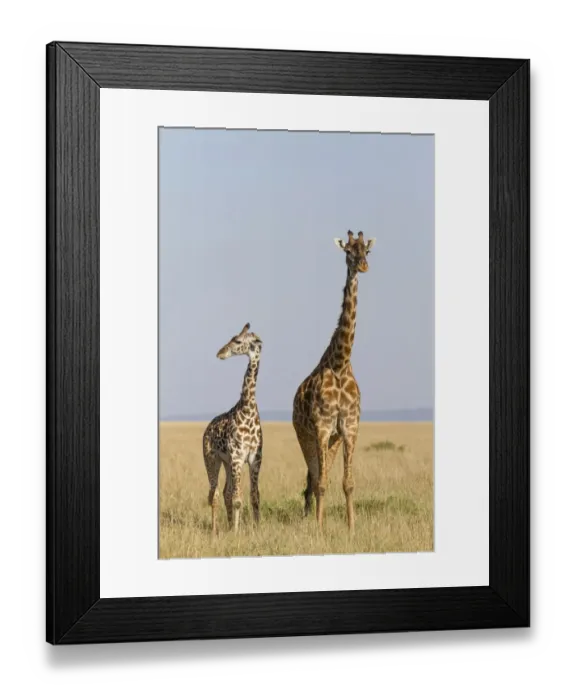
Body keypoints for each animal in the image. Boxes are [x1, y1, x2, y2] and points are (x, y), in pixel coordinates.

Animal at [202, 323, 263, 535]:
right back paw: (214, 530)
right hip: (212, 459)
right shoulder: (237, 457)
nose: (220, 353)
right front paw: (237, 533)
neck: (248, 408)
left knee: (225, 492)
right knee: (213, 494)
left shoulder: (254, 458)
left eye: (237, 341)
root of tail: (207, 428)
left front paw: (256, 528)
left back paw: (228, 525)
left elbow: (254, 496)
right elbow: (238, 499)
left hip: (226, 462)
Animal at [292, 231, 375, 533]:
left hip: (333, 439)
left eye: (367, 251)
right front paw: (319, 528)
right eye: (348, 251)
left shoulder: (348, 427)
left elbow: (348, 483)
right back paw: (313, 516)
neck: (340, 364)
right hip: (305, 435)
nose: (363, 266)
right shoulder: (322, 427)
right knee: (314, 476)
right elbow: (322, 482)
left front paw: (351, 528)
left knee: (318, 474)